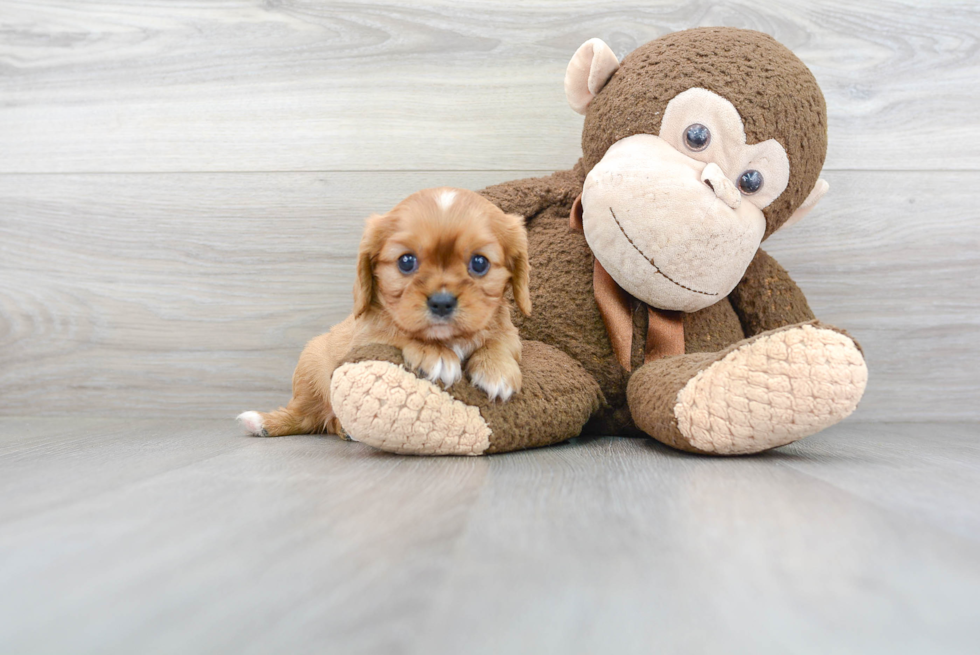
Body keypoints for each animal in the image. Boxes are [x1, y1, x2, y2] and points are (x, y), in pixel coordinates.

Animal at [236, 187, 528, 438]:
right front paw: (435, 354)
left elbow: (499, 341)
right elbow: (397, 333)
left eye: (479, 263)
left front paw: (497, 370)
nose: (442, 302)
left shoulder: (510, 332)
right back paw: (264, 423)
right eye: (406, 261)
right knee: (305, 416)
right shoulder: (367, 338)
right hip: (310, 371)